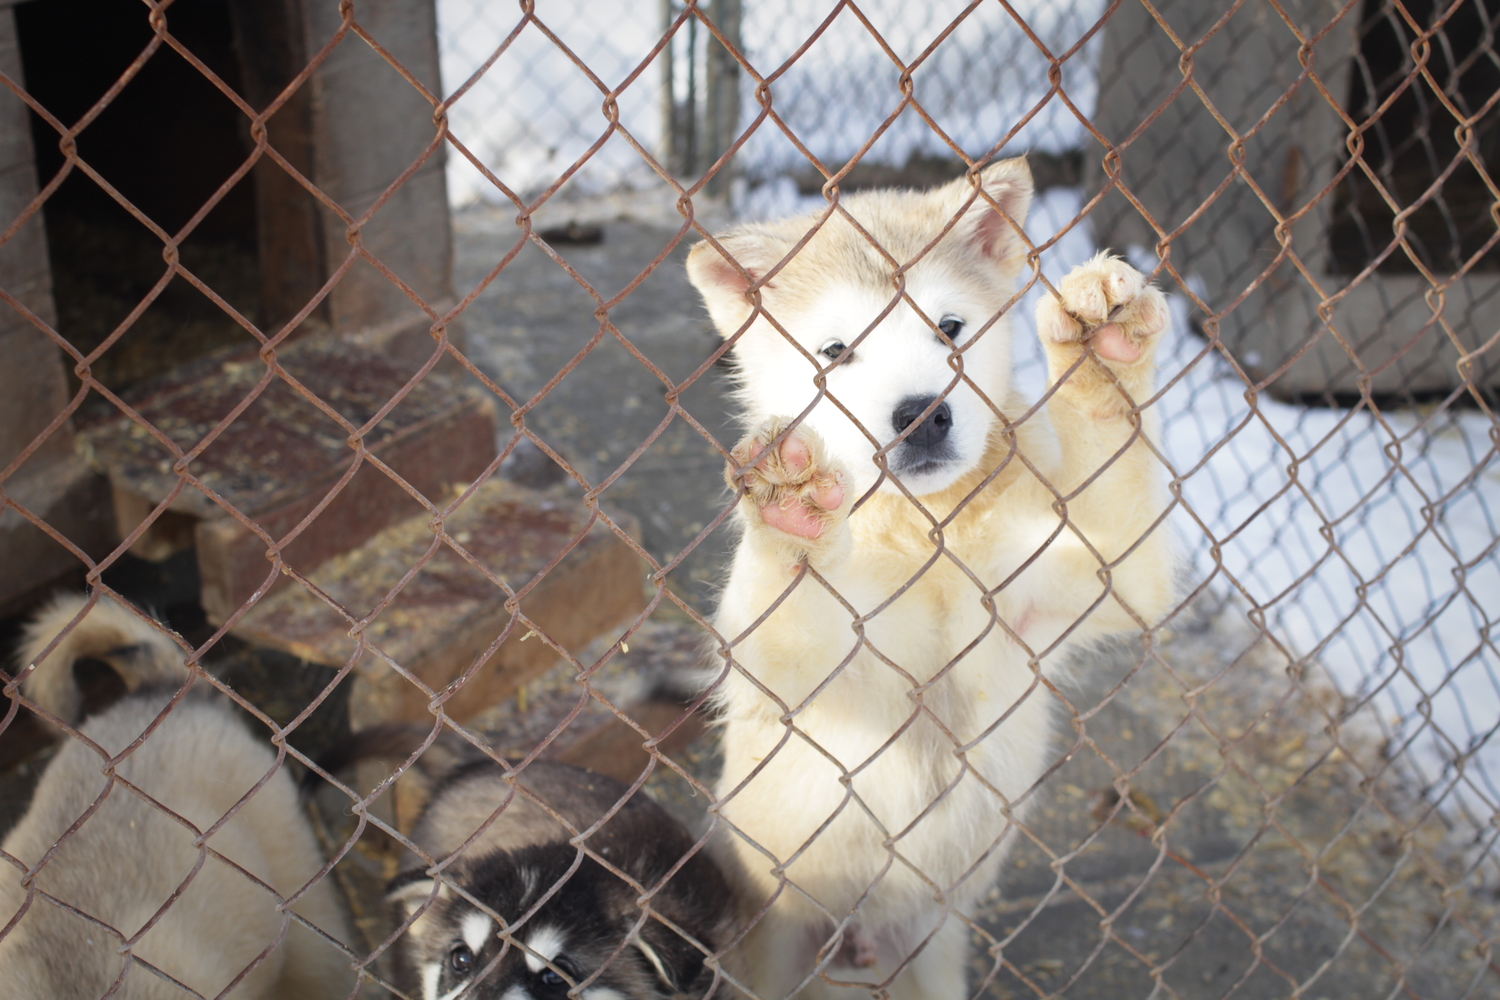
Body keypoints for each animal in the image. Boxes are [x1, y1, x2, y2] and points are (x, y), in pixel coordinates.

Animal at [687, 160, 1176, 1000]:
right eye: (835, 351)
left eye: (948, 328)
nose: (922, 416)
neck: (928, 535)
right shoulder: (804, 676)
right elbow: (788, 594)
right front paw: (789, 508)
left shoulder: (1103, 571)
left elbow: (1110, 460)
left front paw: (1102, 348)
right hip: (773, 946)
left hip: (933, 949)